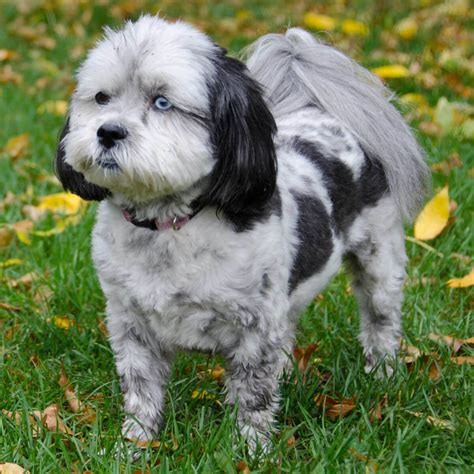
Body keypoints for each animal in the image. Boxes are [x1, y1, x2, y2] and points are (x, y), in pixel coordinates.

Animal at [55, 14, 430, 452]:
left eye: (162, 102)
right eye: (101, 98)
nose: (108, 131)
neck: (169, 228)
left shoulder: (255, 330)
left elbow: (253, 395)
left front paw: (249, 451)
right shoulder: (131, 325)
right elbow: (141, 391)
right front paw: (134, 445)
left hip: (378, 259)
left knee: (380, 318)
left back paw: (383, 372)